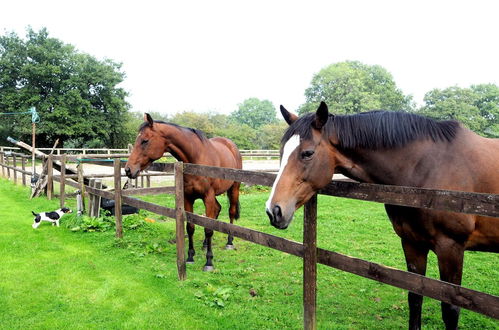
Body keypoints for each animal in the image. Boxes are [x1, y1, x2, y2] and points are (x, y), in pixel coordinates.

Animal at [125, 113, 242, 270]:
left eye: (145, 140)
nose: (128, 169)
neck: (196, 158)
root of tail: (231, 145)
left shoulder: (208, 197)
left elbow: (209, 229)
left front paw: (209, 262)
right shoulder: (188, 198)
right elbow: (191, 227)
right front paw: (190, 257)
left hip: (234, 189)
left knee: (231, 212)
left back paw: (229, 242)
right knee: (217, 210)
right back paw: (205, 244)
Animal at [266, 102, 499, 328]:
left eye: (307, 153)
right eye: (281, 152)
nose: (273, 210)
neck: (427, 169)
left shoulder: (451, 248)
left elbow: (450, 311)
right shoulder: (412, 243)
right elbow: (415, 297)